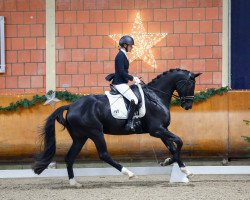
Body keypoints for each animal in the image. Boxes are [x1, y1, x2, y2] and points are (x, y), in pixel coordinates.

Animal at [32, 68, 201, 186]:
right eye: (191, 84)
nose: (188, 106)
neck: (155, 97)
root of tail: (71, 105)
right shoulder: (157, 130)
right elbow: (179, 142)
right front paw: (173, 164)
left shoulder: (161, 130)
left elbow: (173, 147)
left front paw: (181, 168)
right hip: (95, 133)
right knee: (104, 154)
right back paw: (129, 173)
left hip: (80, 137)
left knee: (70, 157)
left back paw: (74, 183)